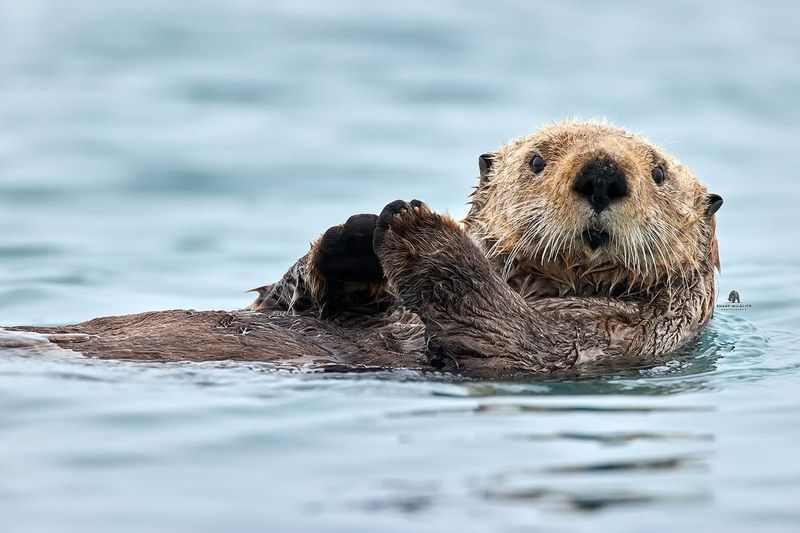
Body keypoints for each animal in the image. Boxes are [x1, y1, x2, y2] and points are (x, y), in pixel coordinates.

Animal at [3, 122, 720, 376]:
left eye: (659, 172)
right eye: (538, 160)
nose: (601, 173)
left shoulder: (607, 337)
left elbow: (508, 334)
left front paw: (417, 228)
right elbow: (287, 300)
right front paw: (355, 236)